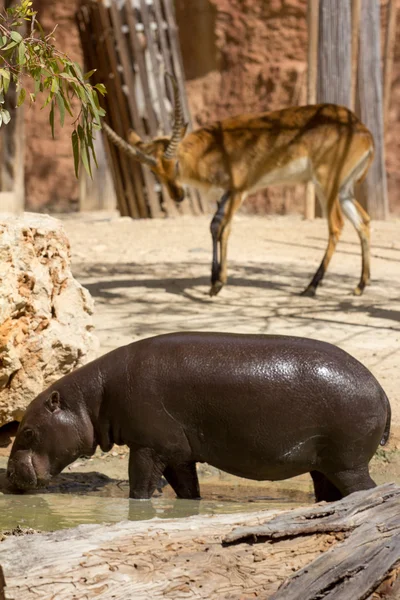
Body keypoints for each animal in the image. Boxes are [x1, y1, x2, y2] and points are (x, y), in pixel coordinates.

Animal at [102, 78, 372, 298]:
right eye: (153, 171)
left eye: (175, 162)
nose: (177, 196)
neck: (212, 149)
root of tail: (364, 131)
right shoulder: (225, 194)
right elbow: (216, 227)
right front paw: (214, 282)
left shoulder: (239, 192)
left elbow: (222, 228)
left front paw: (218, 284)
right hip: (343, 190)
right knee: (364, 222)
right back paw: (359, 286)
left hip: (326, 185)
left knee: (337, 225)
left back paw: (311, 287)